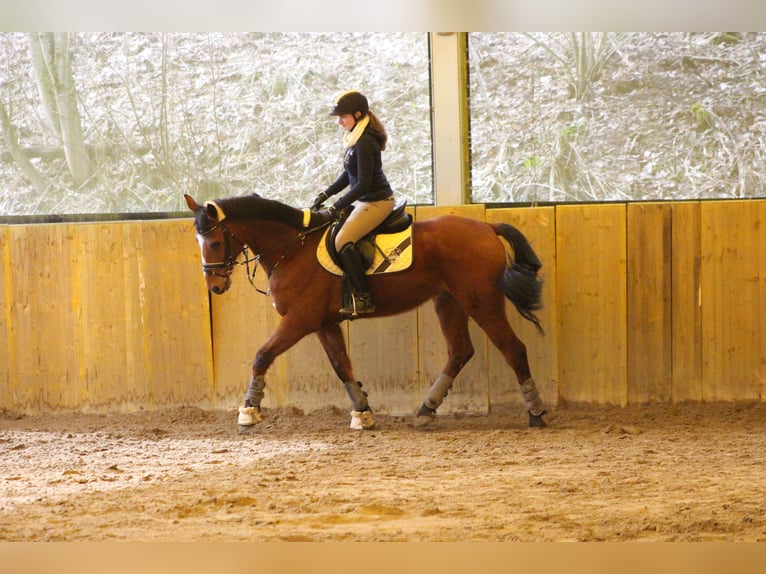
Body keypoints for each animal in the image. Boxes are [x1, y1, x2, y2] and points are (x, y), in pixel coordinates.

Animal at [184, 193, 547, 430]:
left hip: (481, 302)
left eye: (214, 243)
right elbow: (341, 365)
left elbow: (262, 355)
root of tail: (487, 228)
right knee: (460, 351)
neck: (293, 248)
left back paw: (536, 413)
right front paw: (362, 412)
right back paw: (426, 410)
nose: (215, 286)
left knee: (513, 349)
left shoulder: (299, 319)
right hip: (448, 301)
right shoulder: (324, 323)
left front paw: (249, 411)